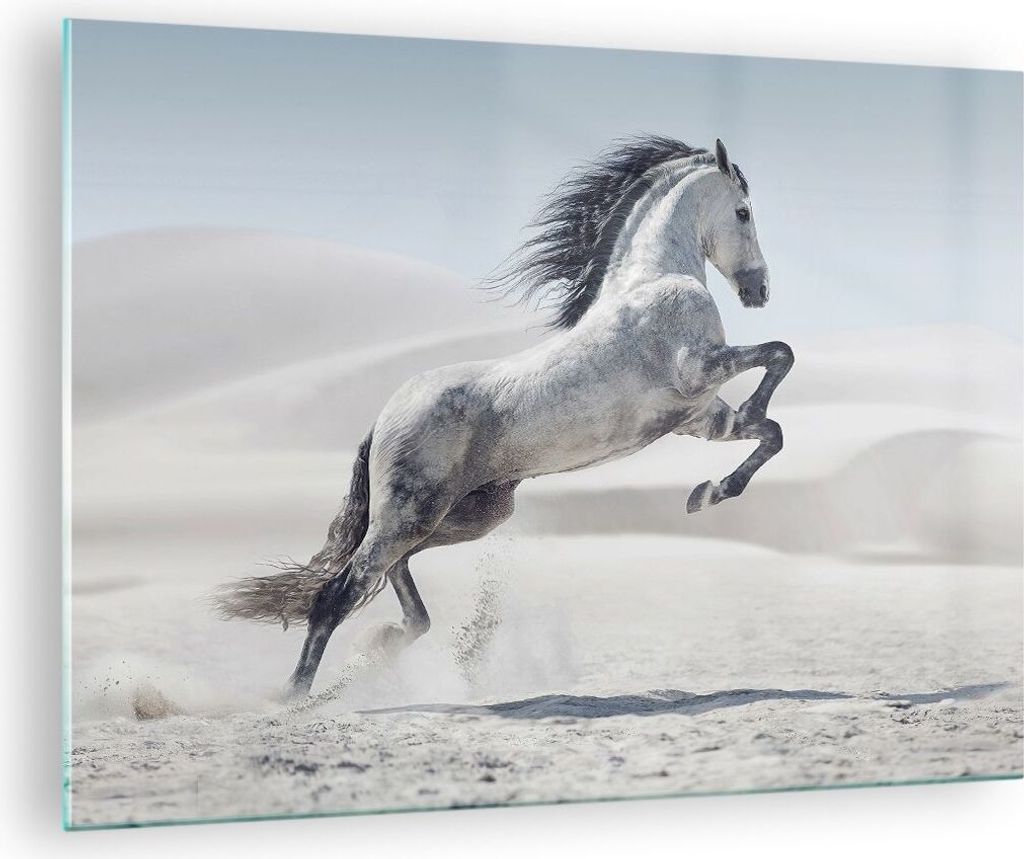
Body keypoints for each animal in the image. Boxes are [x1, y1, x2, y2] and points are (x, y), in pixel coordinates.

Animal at [216, 136, 794, 697]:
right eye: (743, 212)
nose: (760, 291)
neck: (653, 280)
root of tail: (382, 420)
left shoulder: (698, 416)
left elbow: (771, 432)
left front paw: (708, 492)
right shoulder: (699, 371)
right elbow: (780, 354)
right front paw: (730, 452)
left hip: (466, 515)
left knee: (394, 577)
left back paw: (381, 646)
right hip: (412, 512)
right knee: (339, 592)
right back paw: (295, 695)